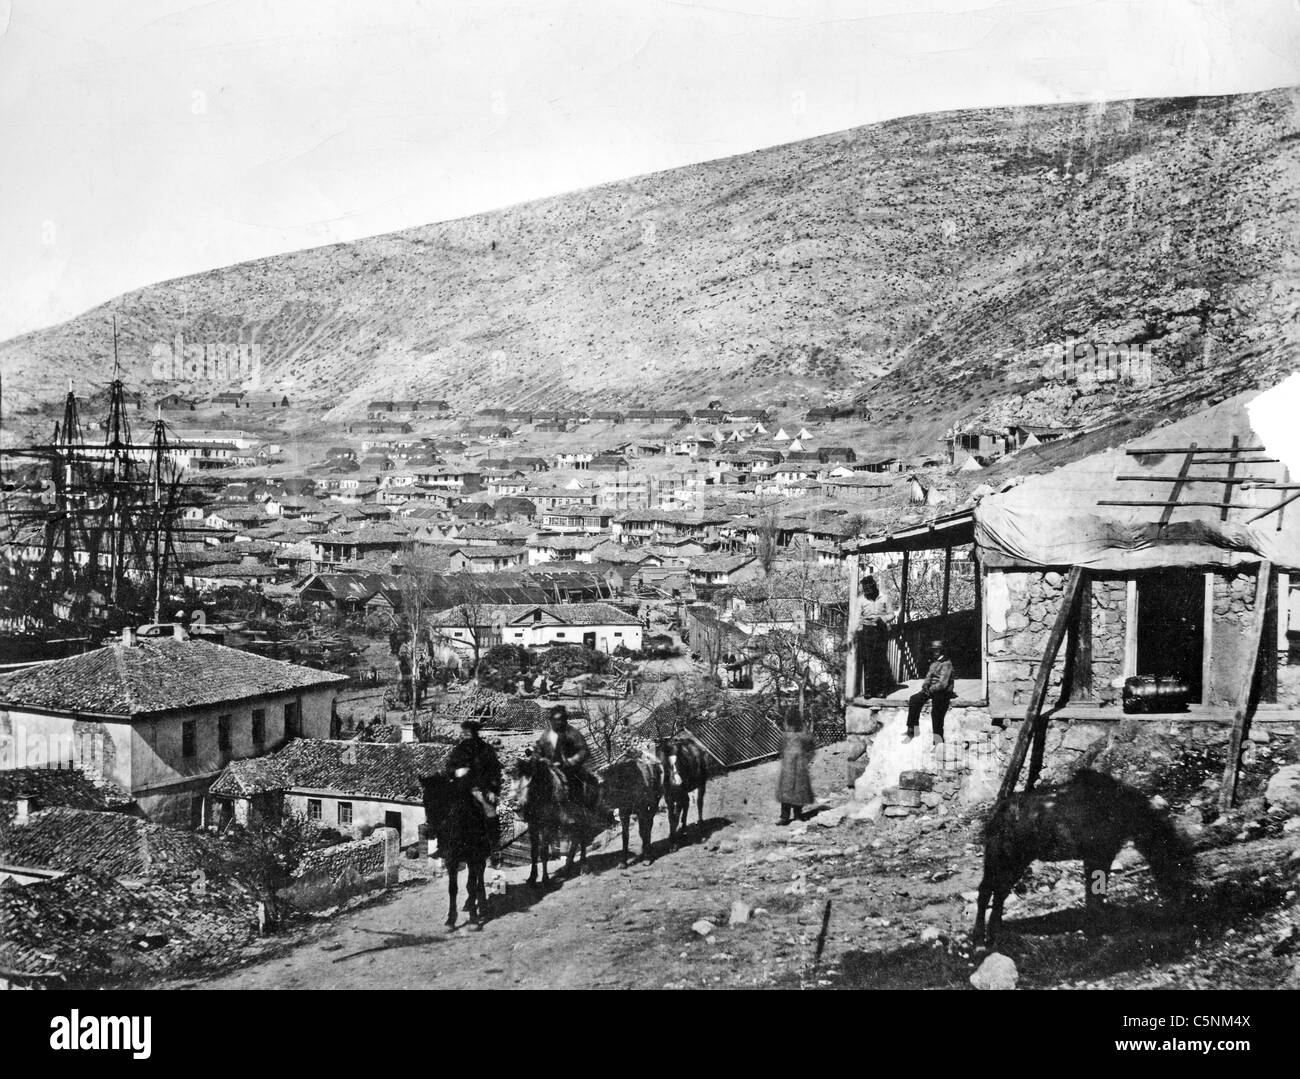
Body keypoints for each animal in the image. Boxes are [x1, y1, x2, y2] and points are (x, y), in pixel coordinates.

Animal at [421, 780, 496, 930]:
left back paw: (482, 904)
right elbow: (453, 888)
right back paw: (469, 904)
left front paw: (473, 919)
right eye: (425, 801)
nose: (429, 831)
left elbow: (472, 886)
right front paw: (451, 919)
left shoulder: (473, 858)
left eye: (442, 799)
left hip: (481, 856)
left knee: (480, 877)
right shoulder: (451, 860)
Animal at [506, 754, 595, 889]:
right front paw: (532, 878)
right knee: (575, 838)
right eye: (511, 778)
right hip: (570, 820)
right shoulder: (533, 825)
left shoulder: (547, 825)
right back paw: (567, 867)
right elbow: (534, 852)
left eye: (529, 781)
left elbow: (543, 852)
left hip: (582, 815)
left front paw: (545, 879)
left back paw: (583, 866)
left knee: (582, 836)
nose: (514, 803)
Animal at [977, 769, 1196, 946]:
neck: (1123, 810)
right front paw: (1097, 928)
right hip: (1005, 858)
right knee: (987, 891)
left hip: (1013, 861)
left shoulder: (1103, 853)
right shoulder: (1097, 852)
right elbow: (1094, 893)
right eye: (1178, 863)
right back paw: (979, 939)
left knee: (998, 892)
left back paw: (995, 933)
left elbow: (1096, 892)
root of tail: (994, 816)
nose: (1187, 902)